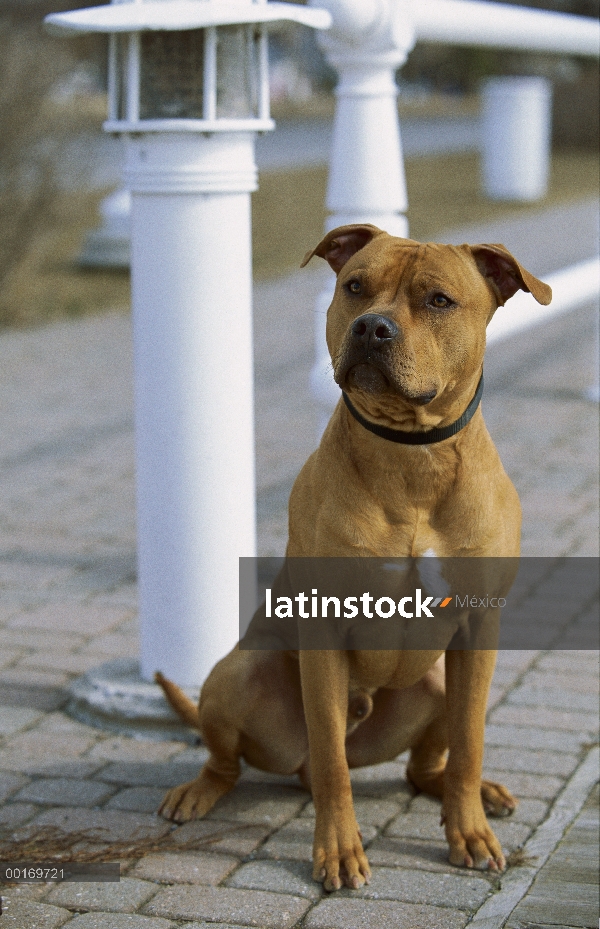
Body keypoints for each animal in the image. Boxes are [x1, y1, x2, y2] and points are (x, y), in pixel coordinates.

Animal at [156, 225, 552, 892]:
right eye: (355, 287)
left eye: (439, 300)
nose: (371, 327)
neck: (413, 459)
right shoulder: (324, 634)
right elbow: (333, 765)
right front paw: (337, 850)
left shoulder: (479, 630)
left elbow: (470, 742)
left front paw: (469, 833)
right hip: (237, 674)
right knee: (238, 761)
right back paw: (199, 791)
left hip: (438, 679)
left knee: (426, 768)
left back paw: (477, 794)